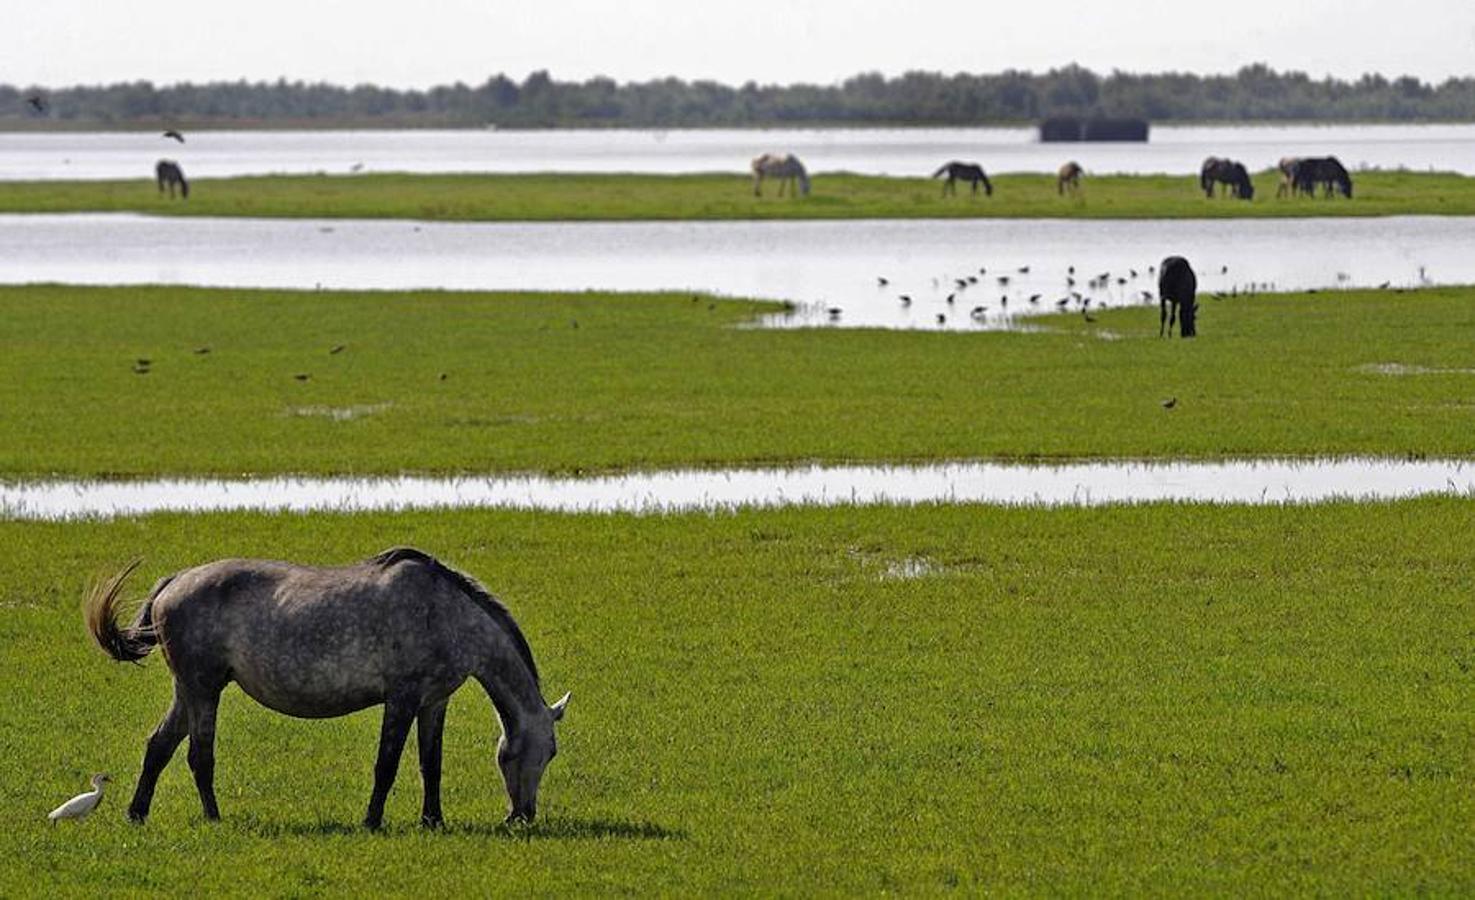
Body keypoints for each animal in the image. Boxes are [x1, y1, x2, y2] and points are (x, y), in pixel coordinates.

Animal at [84, 542, 569, 826]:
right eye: (548, 751)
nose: (523, 816)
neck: (446, 613)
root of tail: (174, 582)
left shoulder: (434, 702)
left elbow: (430, 765)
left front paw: (433, 822)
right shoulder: (402, 699)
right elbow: (386, 765)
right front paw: (372, 822)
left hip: (190, 690)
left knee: (159, 746)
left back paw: (137, 814)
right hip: (203, 690)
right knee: (198, 756)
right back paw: (214, 818)